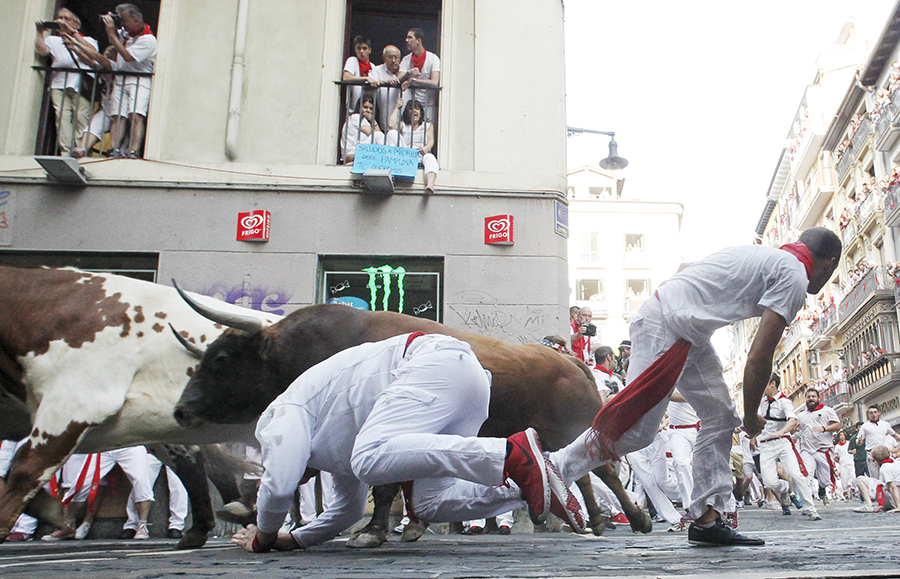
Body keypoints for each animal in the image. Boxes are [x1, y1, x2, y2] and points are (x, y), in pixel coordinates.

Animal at [172, 292, 652, 548]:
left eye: (221, 358)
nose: (181, 409)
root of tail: (570, 360)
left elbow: (378, 485)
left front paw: (373, 531)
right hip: (556, 435)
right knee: (585, 473)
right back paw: (595, 520)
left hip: (572, 426)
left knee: (605, 471)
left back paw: (632, 519)